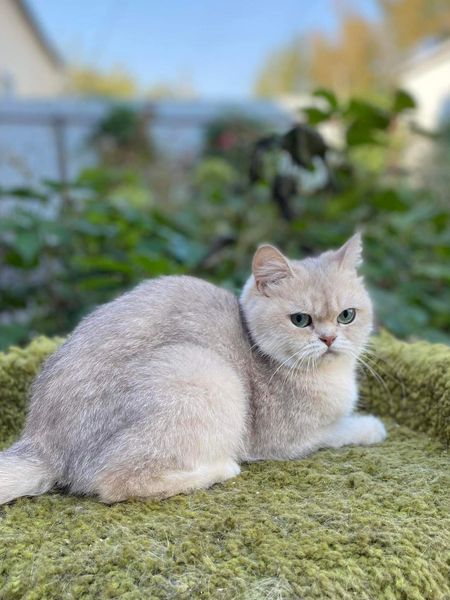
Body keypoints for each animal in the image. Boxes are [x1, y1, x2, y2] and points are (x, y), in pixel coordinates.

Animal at [0, 232, 386, 504]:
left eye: (347, 315)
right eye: (301, 320)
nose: (329, 338)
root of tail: (41, 443)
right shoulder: (295, 440)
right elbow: (340, 429)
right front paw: (370, 426)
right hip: (205, 376)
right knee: (114, 483)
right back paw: (220, 469)